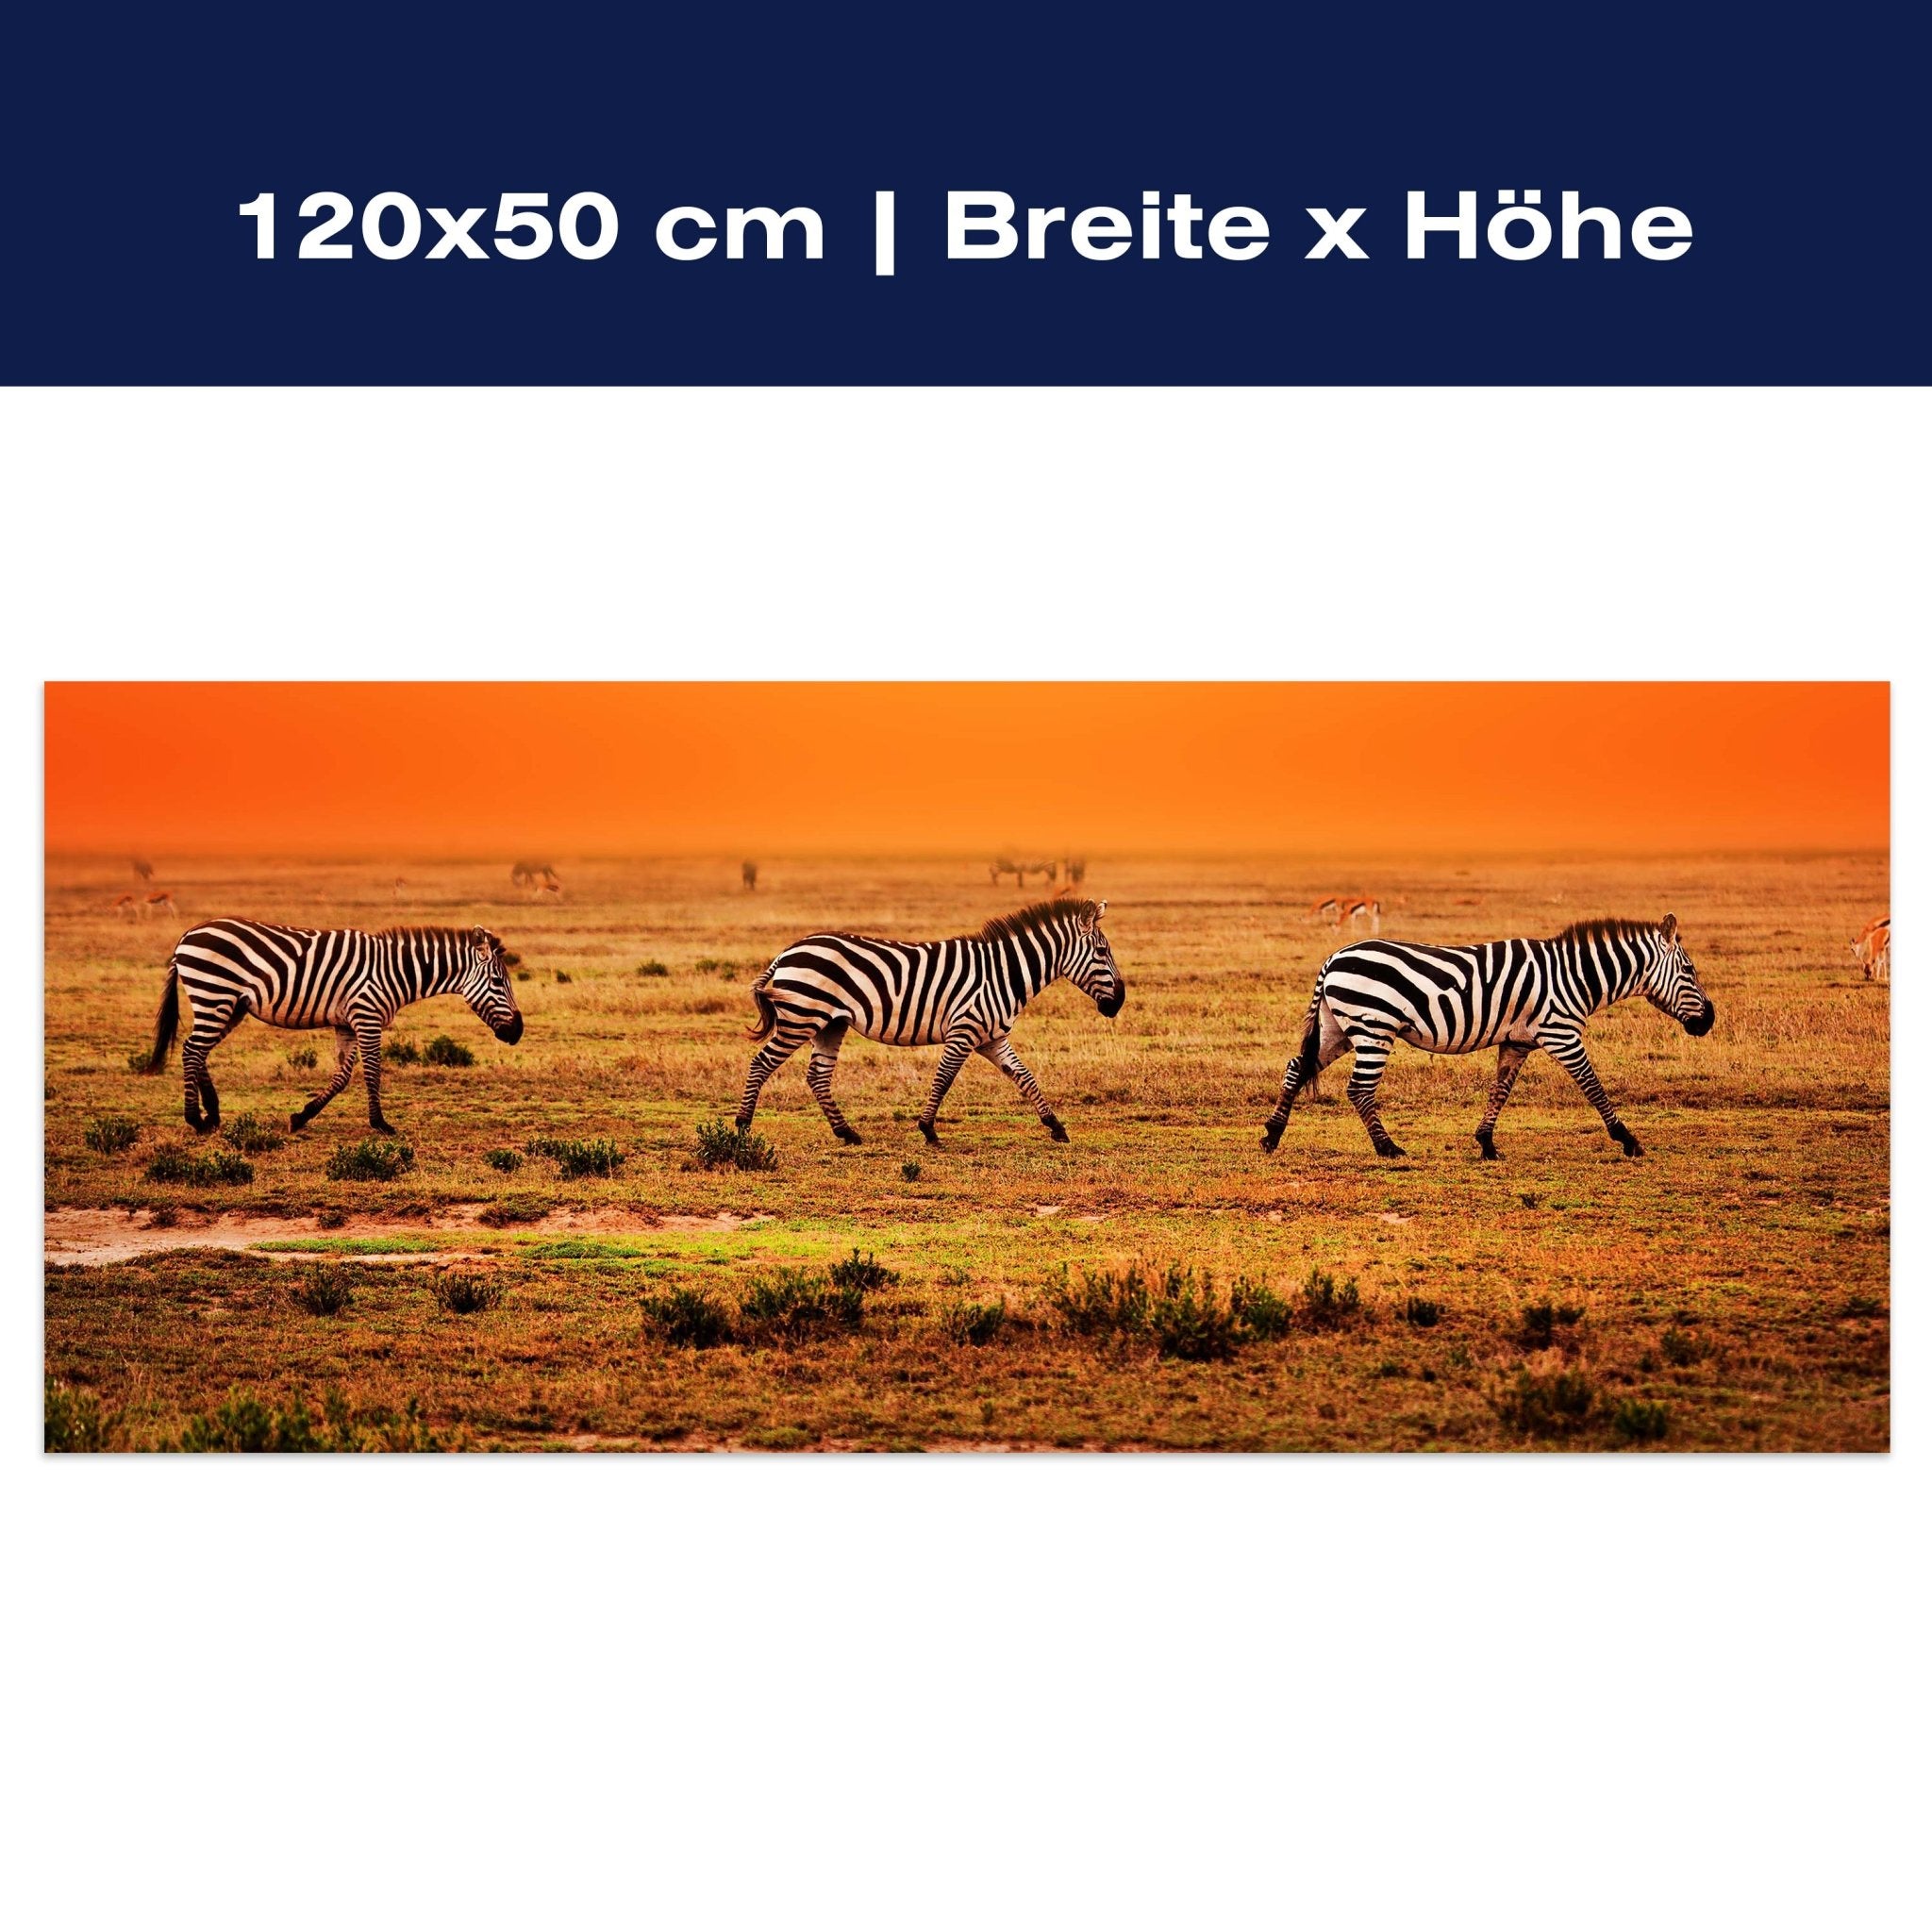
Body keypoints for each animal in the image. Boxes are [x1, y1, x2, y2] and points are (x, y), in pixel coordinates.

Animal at [141, 921, 523, 1135]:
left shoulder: (347, 1023)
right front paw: (381, 1124)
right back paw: (196, 1119)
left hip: (229, 1005)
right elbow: (373, 1072)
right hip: (214, 993)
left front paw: (301, 1116)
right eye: (497, 981)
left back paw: (213, 1114)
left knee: (199, 1050)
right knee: (192, 1049)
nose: (517, 1032)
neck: (395, 971)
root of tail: (188, 935)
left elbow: (341, 1077)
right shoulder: (367, 1016)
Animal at [736, 898, 1125, 1146]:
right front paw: (928, 1130)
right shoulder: (964, 1031)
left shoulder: (992, 1038)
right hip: (801, 1017)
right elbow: (945, 1078)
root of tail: (788, 951)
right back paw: (742, 1127)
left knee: (817, 1076)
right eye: (1102, 952)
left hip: (830, 1023)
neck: (1003, 974)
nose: (1119, 1002)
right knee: (761, 1064)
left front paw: (1056, 1127)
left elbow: (1025, 1077)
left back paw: (847, 1133)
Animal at [1261, 915, 1714, 1162]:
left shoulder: (1518, 1041)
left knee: (1298, 1066)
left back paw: (1271, 1135)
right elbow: (1594, 1087)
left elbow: (1500, 1090)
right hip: (1373, 1026)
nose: (1709, 1021)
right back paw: (1388, 1148)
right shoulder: (1561, 1033)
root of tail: (1333, 957)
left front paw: (1486, 1144)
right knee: (1359, 1088)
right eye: (1690, 971)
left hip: (1338, 1027)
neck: (1576, 976)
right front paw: (1628, 1140)